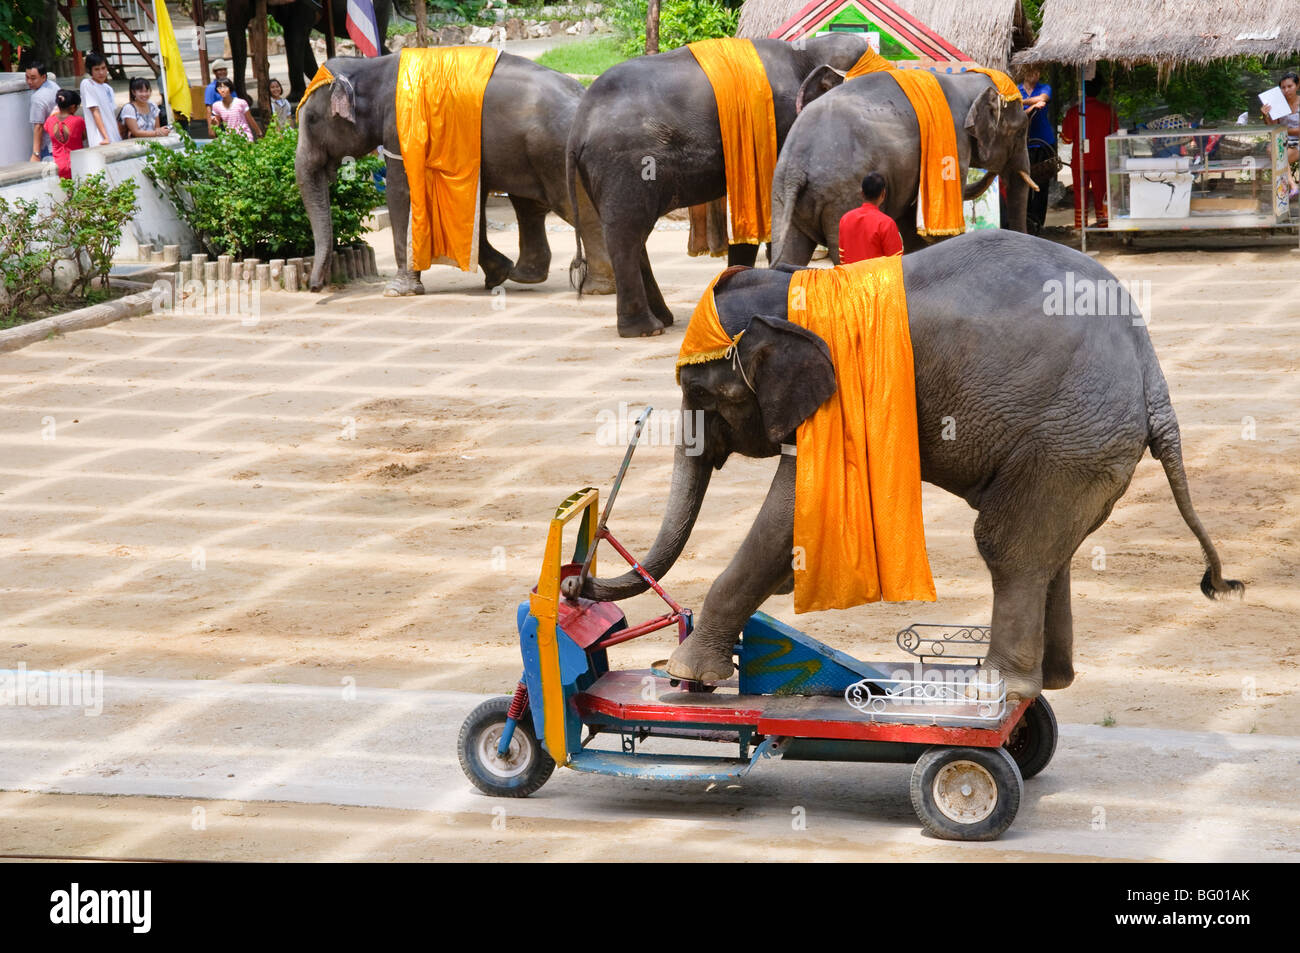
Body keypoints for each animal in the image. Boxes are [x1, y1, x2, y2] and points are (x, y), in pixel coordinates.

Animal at [295, 52, 613, 295]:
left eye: (311, 120)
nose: (315, 287)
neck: (371, 65)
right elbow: (474, 202)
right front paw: (497, 274)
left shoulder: (402, 130)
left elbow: (402, 192)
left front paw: (397, 291)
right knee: (529, 205)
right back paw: (525, 275)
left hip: (554, 151)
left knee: (576, 209)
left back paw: (597, 288)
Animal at [566, 32, 873, 338]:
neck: (809, 50)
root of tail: (579, 124)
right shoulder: (779, 125)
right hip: (625, 164)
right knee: (627, 233)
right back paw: (646, 330)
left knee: (634, 233)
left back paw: (662, 320)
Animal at [569, 226, 1237, 696]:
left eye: (705, 396)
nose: (575, 582)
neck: (803, 286)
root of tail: (1150, 370)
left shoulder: (842, 397)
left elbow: (792, 509)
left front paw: (687, 675)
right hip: (1085, 448)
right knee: (1053, 551)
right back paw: (1051, 682)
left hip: (1068, 436)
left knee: (1008, 546)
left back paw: (998, 688)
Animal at [769, 67, 1034, 263]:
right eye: (1022, 130)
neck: (964, 80)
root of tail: (795, 169)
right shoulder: (953, 144)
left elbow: (912, 225)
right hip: (842, 195)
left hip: (784, 195)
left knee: (791, 253)